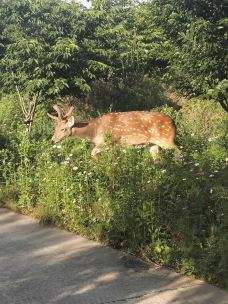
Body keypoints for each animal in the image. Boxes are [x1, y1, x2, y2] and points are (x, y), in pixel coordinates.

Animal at [46, 104, 178, 158]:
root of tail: (173, 122)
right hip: (153, 144)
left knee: (178, 150)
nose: (52, 140)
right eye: (55, 128)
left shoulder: (111, 143)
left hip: (166, 139)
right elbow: (93, 153)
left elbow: (95, 153)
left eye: (63, 129)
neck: (94, 131)